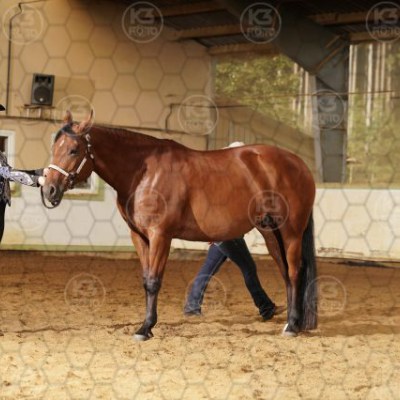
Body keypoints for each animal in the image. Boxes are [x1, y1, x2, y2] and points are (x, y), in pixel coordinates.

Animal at [42, 111, 317, 341]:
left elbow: (154, 281)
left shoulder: (161, 235)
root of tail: (300, 165)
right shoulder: (139, 236)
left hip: (291, 232)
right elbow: (145, 279)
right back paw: (290, 322)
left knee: (295, 271)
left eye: (74, 149)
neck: (143, 172)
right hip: (270, 232)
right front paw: (146, 325)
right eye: (54, 147)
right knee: (286, 272)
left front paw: (145, 328)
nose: (49, 189)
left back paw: (293, 326)